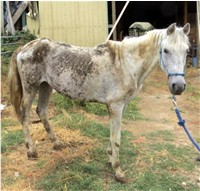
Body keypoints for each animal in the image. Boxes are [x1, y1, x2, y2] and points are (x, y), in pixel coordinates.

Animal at [9, 22, 191, 182]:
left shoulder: (122, 106)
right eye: (166, 50)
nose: (178, 87)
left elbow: (113, 136)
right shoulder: (115, 106)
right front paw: (118, 172)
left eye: (187, 51)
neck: (126, 64)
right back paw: (31, 151)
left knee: (41, 111)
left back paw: (57, 143)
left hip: (46, 86)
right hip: (31, 88)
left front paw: (110, 160)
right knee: (25, 116)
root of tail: (25, 48)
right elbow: (116, 138)